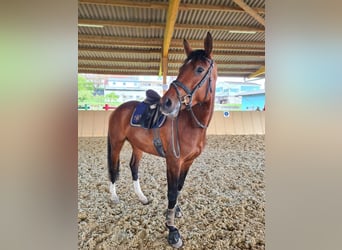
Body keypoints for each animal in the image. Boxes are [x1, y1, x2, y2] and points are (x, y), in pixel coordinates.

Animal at [108, 31, 218, 248]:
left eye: (199, 69)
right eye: (182, 68)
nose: (167, 103)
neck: (190, 124)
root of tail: (118, 109)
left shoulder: (188, 162)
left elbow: (180, 187)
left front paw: (175, 212)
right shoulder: (173, 161)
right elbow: (172, 192)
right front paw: (172, 230)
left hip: (138, 147)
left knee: (133, 167)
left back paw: (142, 198)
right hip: (116, 144)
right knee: (114, 169)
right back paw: (115, 197)